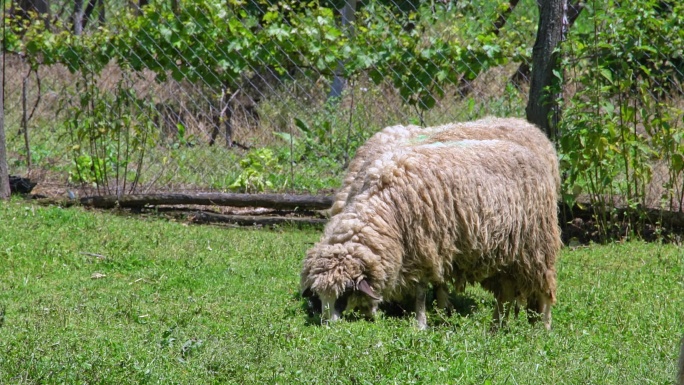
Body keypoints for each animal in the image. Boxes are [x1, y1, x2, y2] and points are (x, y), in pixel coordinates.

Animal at [302, 136, 560, 328]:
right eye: (319, 295)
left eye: (344, 294)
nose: (328, 325)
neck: (385, 205)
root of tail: (531, 154)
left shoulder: (424, 247)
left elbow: (420, 292)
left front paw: (420, 324)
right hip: (504, 253)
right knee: (505, 292)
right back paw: (497, 327)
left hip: (535, 245)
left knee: (543, 289)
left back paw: (543, 327)